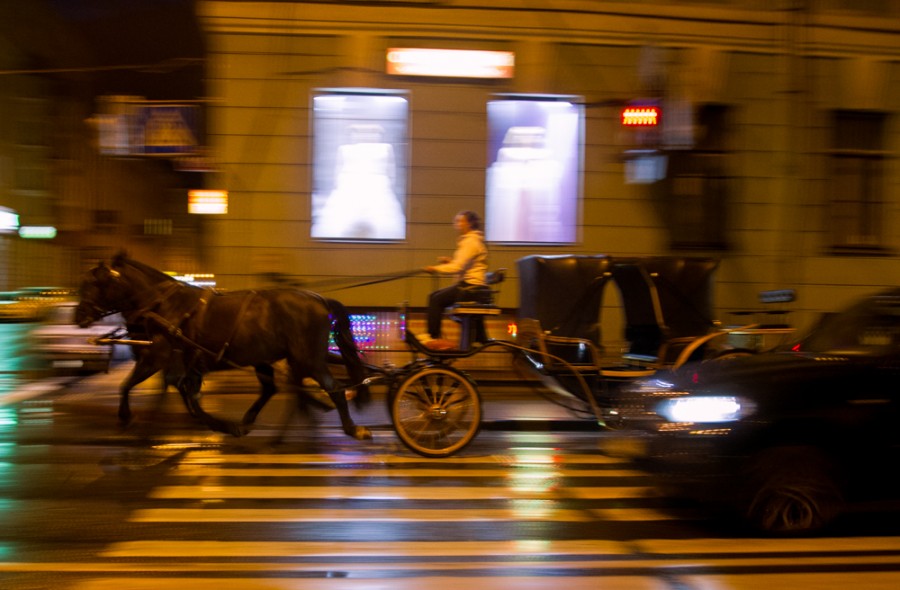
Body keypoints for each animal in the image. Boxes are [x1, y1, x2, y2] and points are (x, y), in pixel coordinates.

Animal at [74, 252, 372, 442]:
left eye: (93, 283)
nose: (79, 317)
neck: (161, 305)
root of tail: (319, 299)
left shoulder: (157, 358)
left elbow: (138, 387)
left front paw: (129, 419)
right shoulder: (177, 363)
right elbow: (175, 393)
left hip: (307, 357)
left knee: (332, 388)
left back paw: (351, 428)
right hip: (277, 358)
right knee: (280, 390)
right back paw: (268, 427)